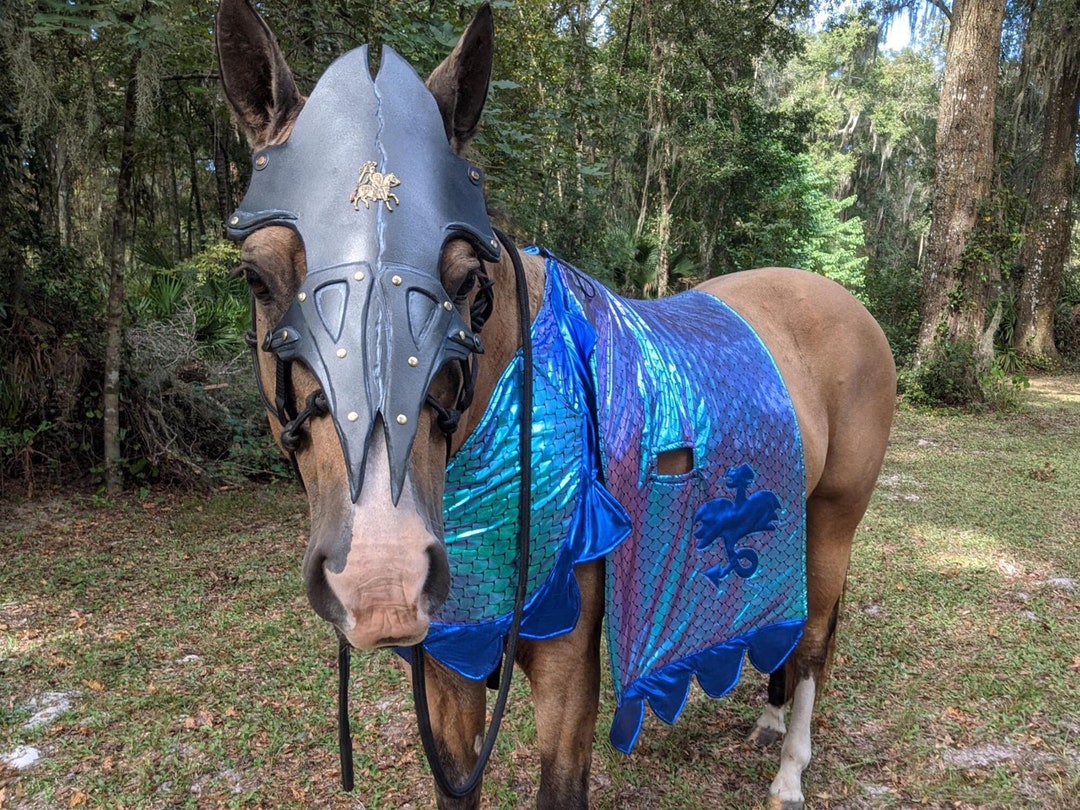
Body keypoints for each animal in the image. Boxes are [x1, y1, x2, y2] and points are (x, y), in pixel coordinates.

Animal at [215, 2, 897, 808]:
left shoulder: (568, 675)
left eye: (467, 284)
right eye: (258, 279)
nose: (382, 580)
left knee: (816, 639)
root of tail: (844, 302)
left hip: (832, 523)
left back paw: (789, 769)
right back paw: (767, 721)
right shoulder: (448, 664)